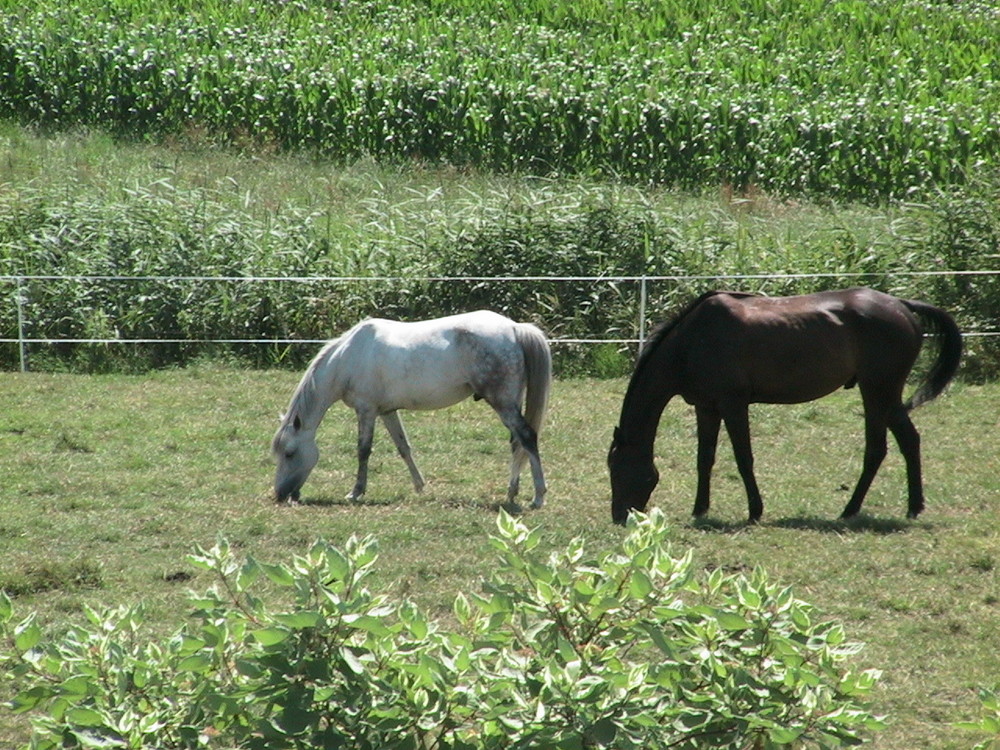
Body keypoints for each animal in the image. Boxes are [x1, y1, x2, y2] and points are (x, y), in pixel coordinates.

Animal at [272, 312, 556, 512]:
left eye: (290, 453)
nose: (280, 495)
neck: (347, 357)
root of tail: (514, 328)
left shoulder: (366, 411)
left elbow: (363, 451)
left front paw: (356, 492)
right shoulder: (386, 412)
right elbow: (403, 447)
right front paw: (420, 486)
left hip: (502, 403)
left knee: (527, 437)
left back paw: (538, 496)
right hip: (509, 403)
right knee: (517, 443)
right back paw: (512, 492)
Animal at [604, 284, 964, 524]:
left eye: (617, 469)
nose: (620, 516)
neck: (692, 341)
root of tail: (901, 305)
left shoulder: (733, 405)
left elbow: (743, 458)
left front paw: (754, 511)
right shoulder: (706, 407)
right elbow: (704, 459)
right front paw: (700, 509)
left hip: (877, 391)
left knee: (877, 449)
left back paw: (850, 510)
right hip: (886, 395)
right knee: (908, 441)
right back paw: (913, 507)